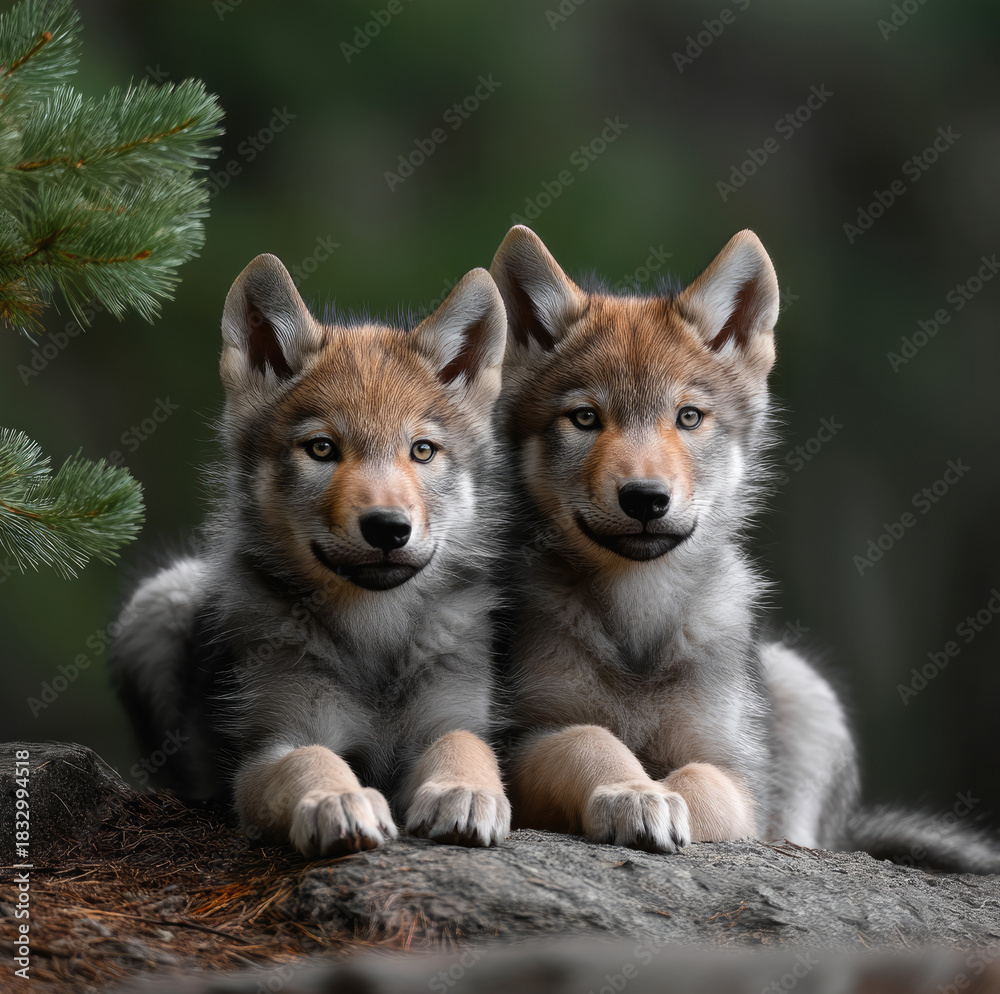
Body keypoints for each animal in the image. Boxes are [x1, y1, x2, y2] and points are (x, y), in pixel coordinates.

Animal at [110, 254, 511, 858]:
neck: (375, 635)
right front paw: (337, 801)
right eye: (321, 449)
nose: (389, 528)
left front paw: (464, 792)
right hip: (160, 598)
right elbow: (311, 760)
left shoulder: (448, 718)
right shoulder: (272, 745)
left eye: (422, 451)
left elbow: (466, 745)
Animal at [489, 225, 1000, 873]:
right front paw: (634, 794)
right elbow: (588, 740)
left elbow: (702, 785)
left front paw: (662, 800)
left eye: (688, 417)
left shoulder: (737, 770)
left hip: (805, 689)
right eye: (584, 418)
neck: (639, 619)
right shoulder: (519, 740)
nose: (645, 498)